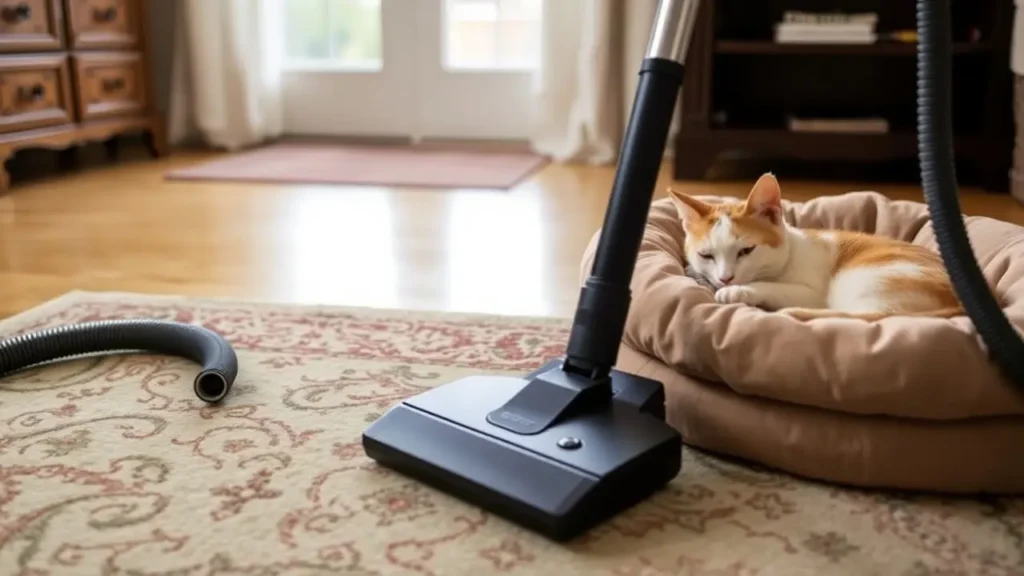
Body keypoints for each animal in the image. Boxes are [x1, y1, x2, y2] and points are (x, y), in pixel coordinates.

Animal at [667, 172, 962, 319]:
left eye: (746, 251)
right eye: (706, 255)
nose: (725, 278)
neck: (788, 255)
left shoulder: (812, 292)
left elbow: (770, 286)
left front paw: (737, 291)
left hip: (862, 279)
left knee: (863, 316)